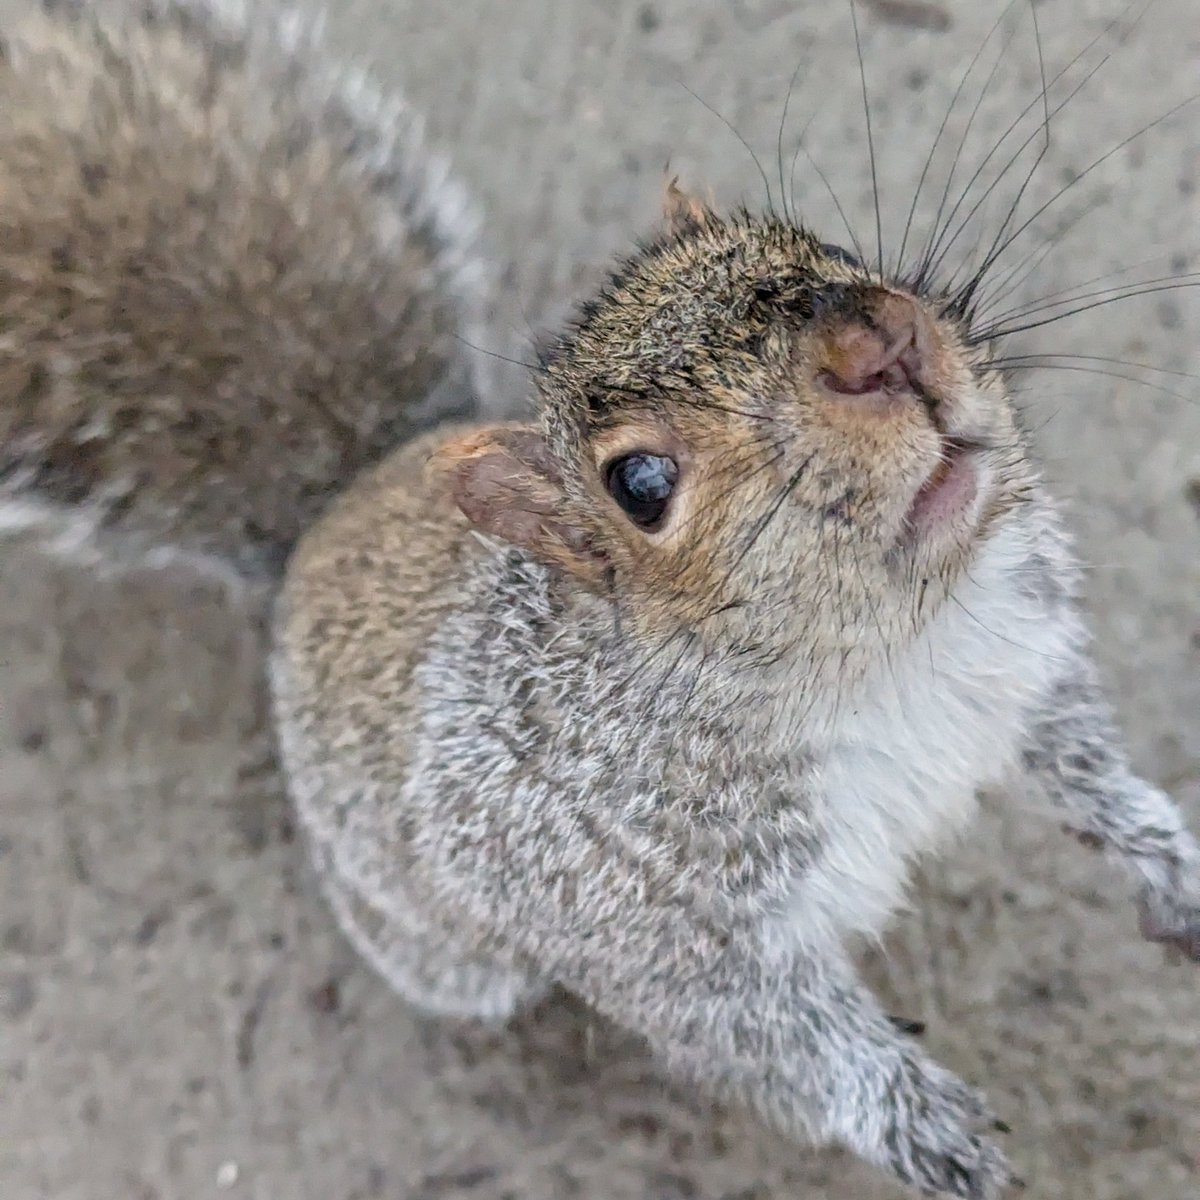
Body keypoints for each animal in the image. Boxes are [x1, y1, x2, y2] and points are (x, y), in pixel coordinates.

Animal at [2, 3, 1197, 1199]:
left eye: (826, 249)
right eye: (641, 486)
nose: (877, 343)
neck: (891, 654)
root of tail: (329, 517)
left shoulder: (1023, 657)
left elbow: (1086, 768)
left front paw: (1172, 866)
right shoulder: (641, 915)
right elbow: (773, 1044)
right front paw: (932, 1131)